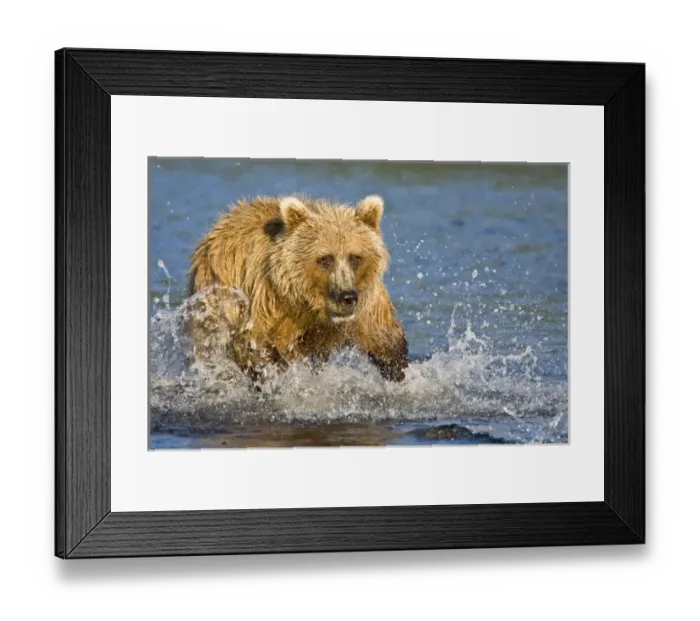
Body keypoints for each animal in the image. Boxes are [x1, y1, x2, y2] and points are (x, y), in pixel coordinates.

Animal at [186, 194, 409, 383]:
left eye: (355, 257)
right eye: (325, 259)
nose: (346, 297)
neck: (309, 304)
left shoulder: (365, 303)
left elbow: (384, 338)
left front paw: (398, 371)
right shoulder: (267, 302)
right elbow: (257, 346)